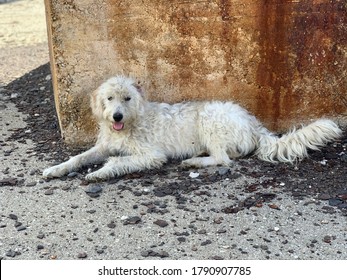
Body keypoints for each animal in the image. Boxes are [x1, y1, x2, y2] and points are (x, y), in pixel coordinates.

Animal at [42, 75, 342, 180]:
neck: (132, 122)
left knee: (223, 159)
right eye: (109, 98)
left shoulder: (151, 155)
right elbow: (78, 158)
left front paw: (99, 173)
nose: (116, 117)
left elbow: (118, 161)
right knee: (230, 155)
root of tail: (254, 123)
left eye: (127, 98)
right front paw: (56, 169)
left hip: (211, 118)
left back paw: (195, 161)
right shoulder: (103, 146)